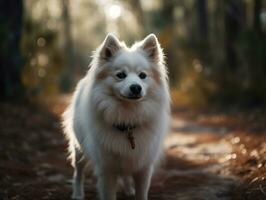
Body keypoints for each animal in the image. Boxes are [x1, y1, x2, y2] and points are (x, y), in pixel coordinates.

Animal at [61, 33, 170, 199]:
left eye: (142, 75)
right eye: (121, 75)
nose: (136, 87)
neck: (127, 118)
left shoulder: (143, 167)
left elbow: (141, 193)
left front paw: (133, 191)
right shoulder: (107, 169)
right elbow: (109, 193)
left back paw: (128, 189)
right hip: (79, 148)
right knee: (78, 172)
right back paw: (78, 193)